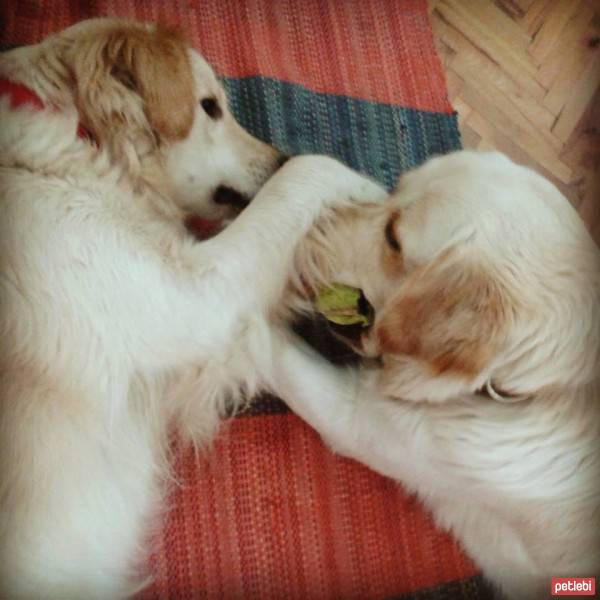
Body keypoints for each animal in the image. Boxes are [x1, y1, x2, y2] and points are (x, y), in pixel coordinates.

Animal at [268, 149, 600, 596]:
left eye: (393, 238)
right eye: (395, 187)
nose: (278, 169)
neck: (547, 389)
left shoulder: (358, 421)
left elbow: (269, 349)